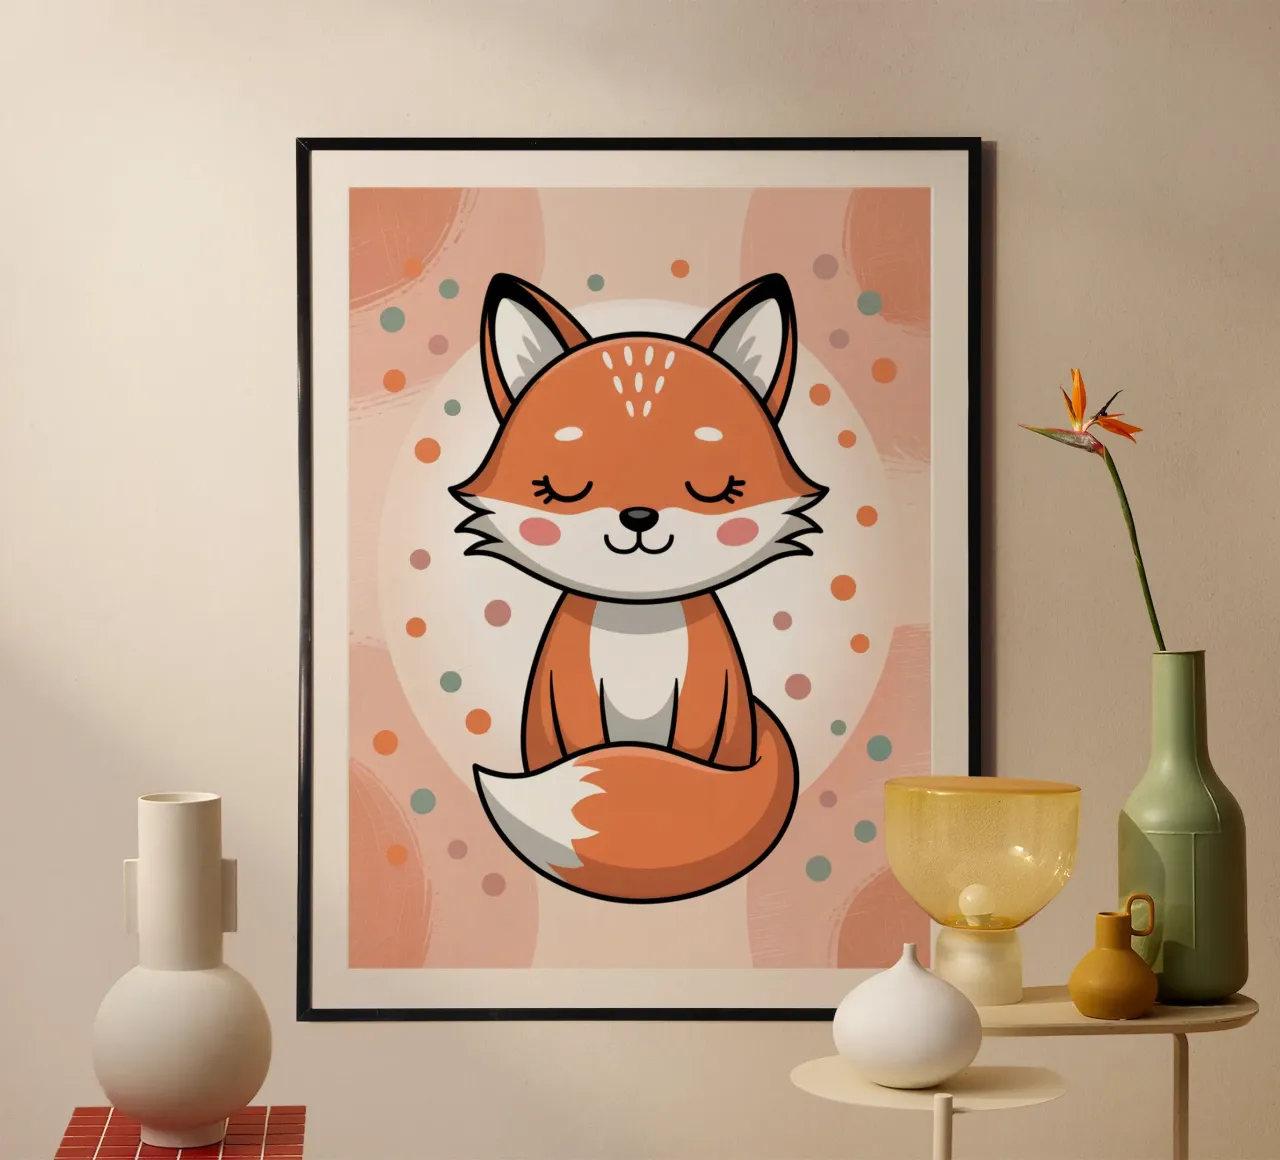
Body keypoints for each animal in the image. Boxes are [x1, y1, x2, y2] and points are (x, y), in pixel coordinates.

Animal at [451, 271, 826, 903]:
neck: (638, 625)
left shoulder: (707, 695)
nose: (639, 518)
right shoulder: (570, 691)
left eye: (715, 485)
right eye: (562, 485)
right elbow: (587, 742)